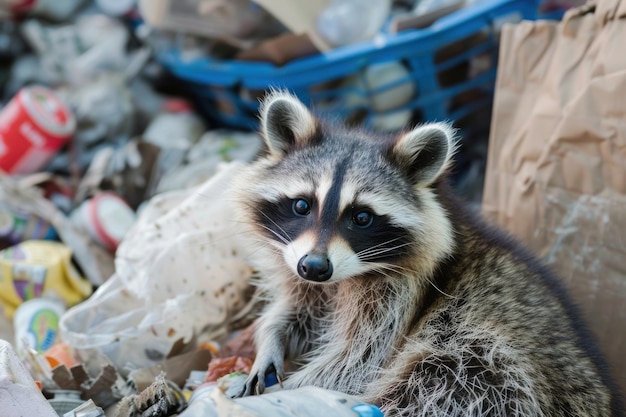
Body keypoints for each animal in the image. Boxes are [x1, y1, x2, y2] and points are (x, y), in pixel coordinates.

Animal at [232, 92, 620, 416]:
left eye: (361, 217)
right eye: (302, 205)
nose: (314, 267)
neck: (344, 277)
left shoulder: (402, 293)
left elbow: (356, 362)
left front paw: (290, 390)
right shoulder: (303, 268)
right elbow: (301, 313)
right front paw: (270, 339)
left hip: (488, 358)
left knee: (446, 377)